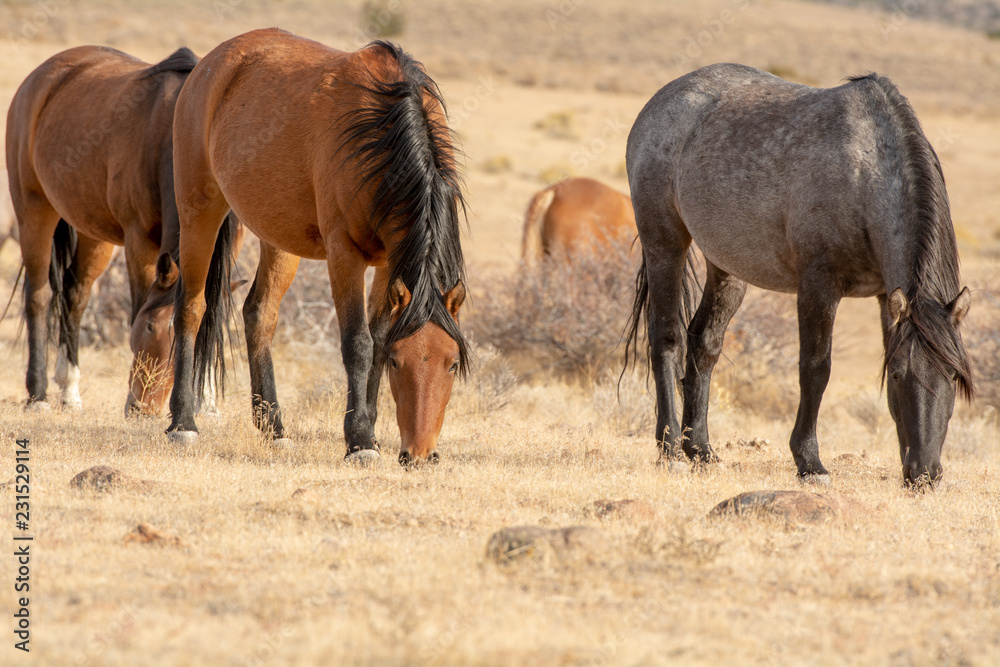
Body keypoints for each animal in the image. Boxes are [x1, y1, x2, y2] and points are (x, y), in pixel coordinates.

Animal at [7, 44, 238, 414]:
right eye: (149, 327)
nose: (143, 407)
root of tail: (41, 75)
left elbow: (213, 316)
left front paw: (206, 401)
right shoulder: (139, 241)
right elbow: (140, 300)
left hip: (92, 232)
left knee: (75, 296)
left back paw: (69, 391)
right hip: (34, 210)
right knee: (39, 296)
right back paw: (38, 393)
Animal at [166, 30, 470, 464]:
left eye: (452, 363)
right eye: (399, 363)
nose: (420, 454)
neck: (385, 122)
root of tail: (210, 63)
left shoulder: (387, 262)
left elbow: (377, 337)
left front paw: (369, 431)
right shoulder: (345, 255)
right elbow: (359, 343)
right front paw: (360, 441)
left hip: (279, 238)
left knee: (259, 314)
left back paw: (274, 429)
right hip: (199, 212)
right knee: (191, 308)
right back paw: (183, 423)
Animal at [628, 65, 972, 488]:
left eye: (954, 376)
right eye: (896, 376)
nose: (924, 473)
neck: (864, 170)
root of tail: (662, 99)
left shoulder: (885, 296)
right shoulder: (818, 286)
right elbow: (815, 369)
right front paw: (809, 462)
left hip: (726, 267)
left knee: (704, 344)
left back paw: (702, 450)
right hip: (664, 243)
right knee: (666, 338)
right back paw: (670, 448)